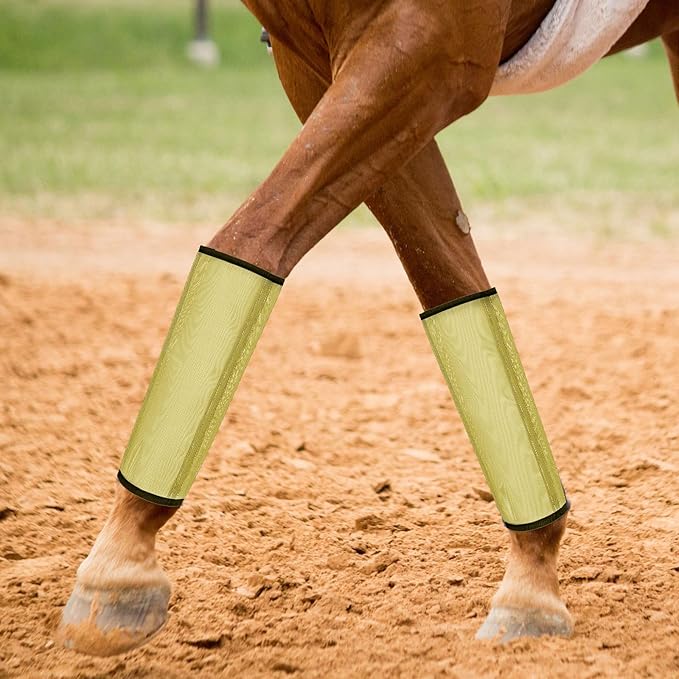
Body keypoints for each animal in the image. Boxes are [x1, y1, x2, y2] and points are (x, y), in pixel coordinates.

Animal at [58, 0, 679, 656]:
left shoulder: (428, 49)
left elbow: (253, 238)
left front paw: (120, 566)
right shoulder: (315, 64)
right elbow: (450, 283)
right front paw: (531, 584)